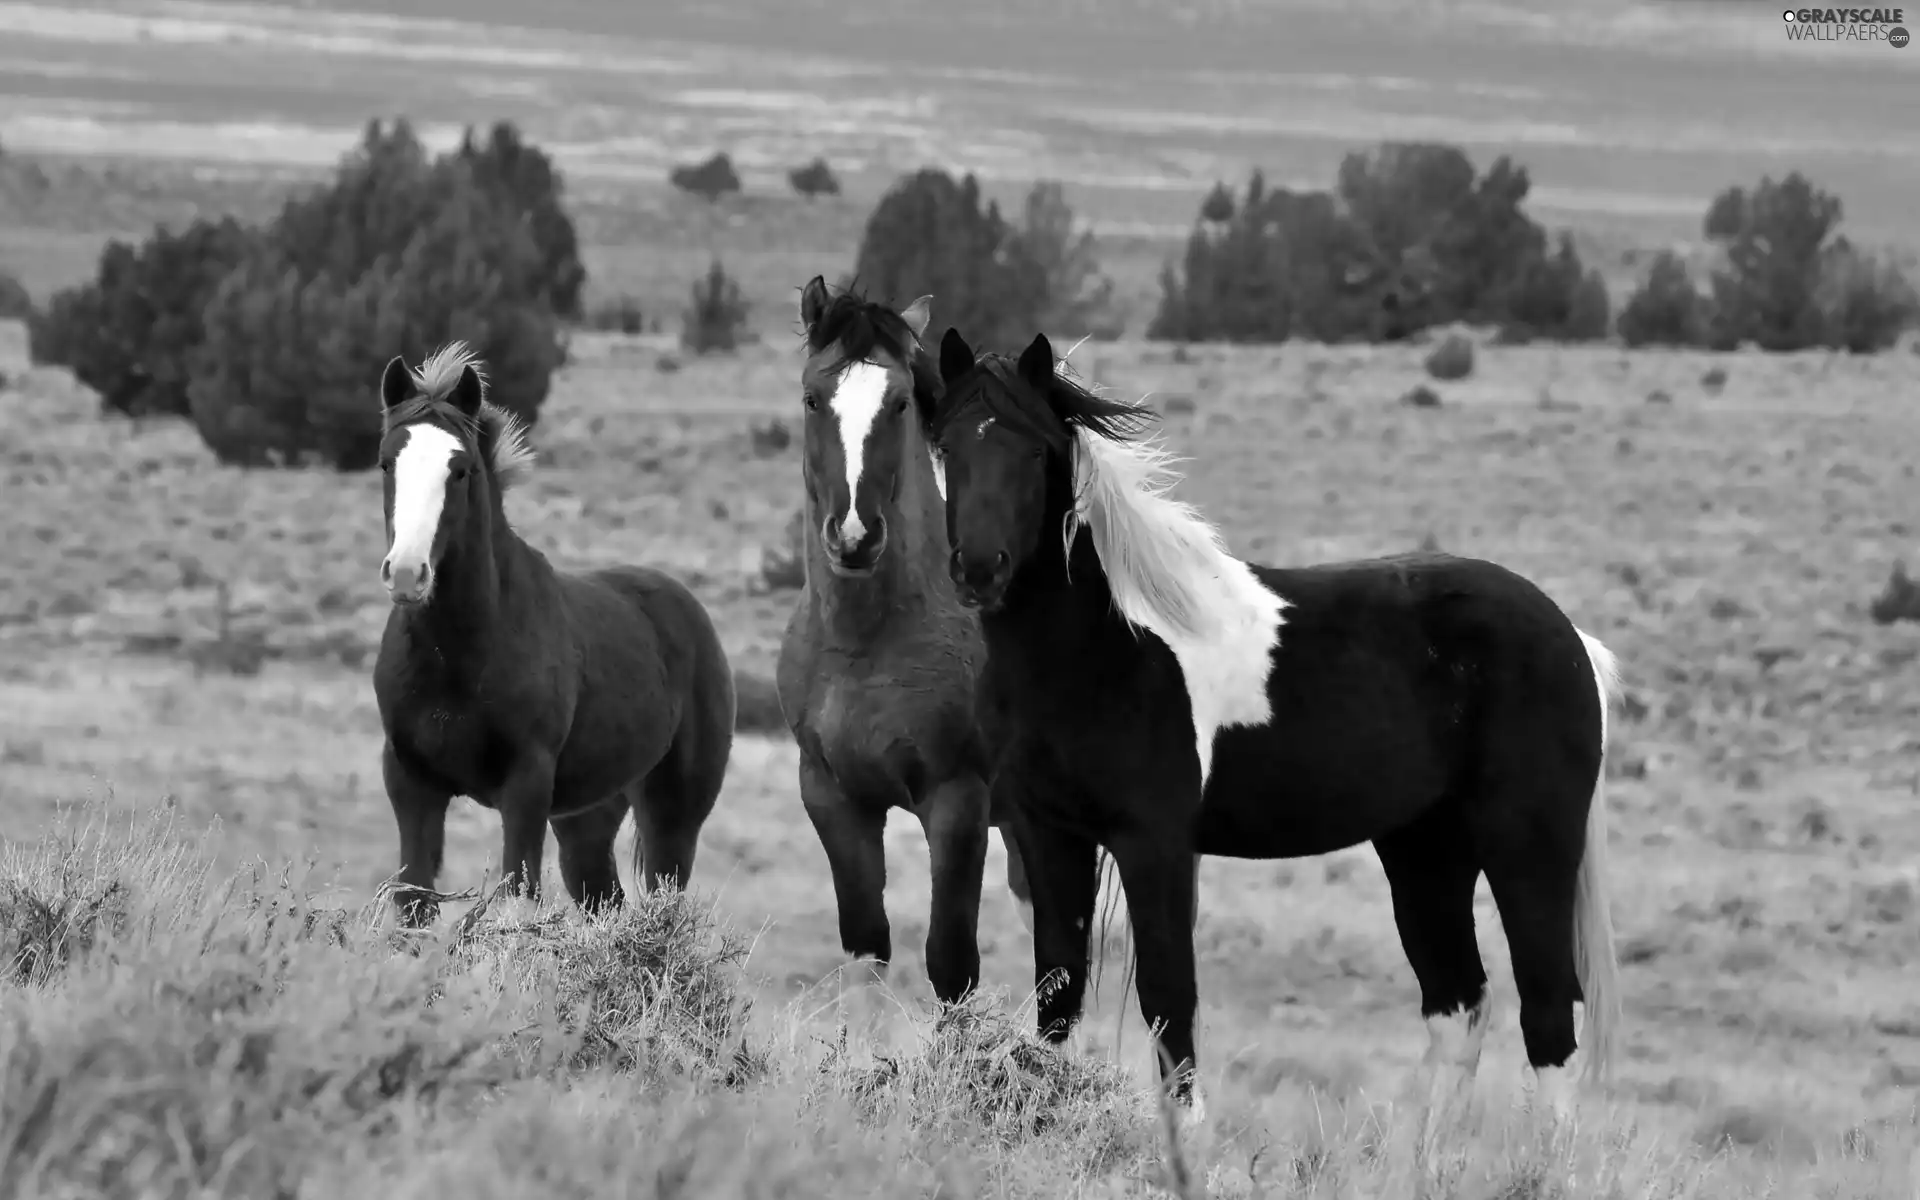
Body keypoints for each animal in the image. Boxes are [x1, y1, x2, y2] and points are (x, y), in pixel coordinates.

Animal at [372, 341, 733, 921]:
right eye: (388, 463)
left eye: (460, 469)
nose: (407, 574)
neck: (457, 656)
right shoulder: (411, 783)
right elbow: (413, 901)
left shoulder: (527, 786)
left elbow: (517, 896)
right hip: (585, 819)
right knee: (605, 899)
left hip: (672, 815)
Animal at [771, 278, 1036, 1021]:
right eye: (812, 396)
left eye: (896, 403)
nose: (855, 535)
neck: (866, 645)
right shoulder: (834, 800)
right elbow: (867, 951)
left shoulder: (956, 804)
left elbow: (951, 966)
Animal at [929, 322, 1620, 1128]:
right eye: (947, 444)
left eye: (1034, 450)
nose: (980, 567)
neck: (1106, 645)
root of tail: (1571, 639)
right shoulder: (1049, 834)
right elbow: (1059, 996)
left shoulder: (1154, 844)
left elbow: (1170, 1003)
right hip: (1426, 851)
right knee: (1459, 1006)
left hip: (1526, 849)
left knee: (1548, 1016)